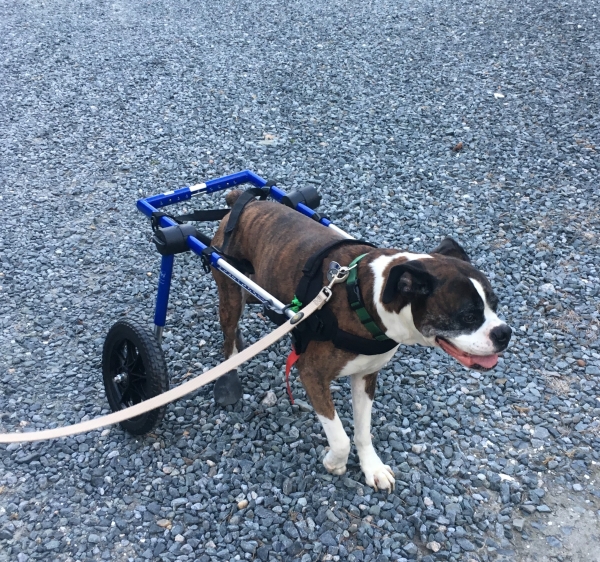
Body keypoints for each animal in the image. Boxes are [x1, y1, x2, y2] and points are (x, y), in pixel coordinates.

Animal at [211, 190, 510, 488]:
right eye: (468, 316)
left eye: (495, 304)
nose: (505, 333)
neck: (366, 299)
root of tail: (246, 201)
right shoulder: (312, 375)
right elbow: (340, 437)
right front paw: (334, 463)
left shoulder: (366, 375)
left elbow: (362, 431)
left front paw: (371, 467)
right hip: (229, 291)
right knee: (228, 334)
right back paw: (229, 373)